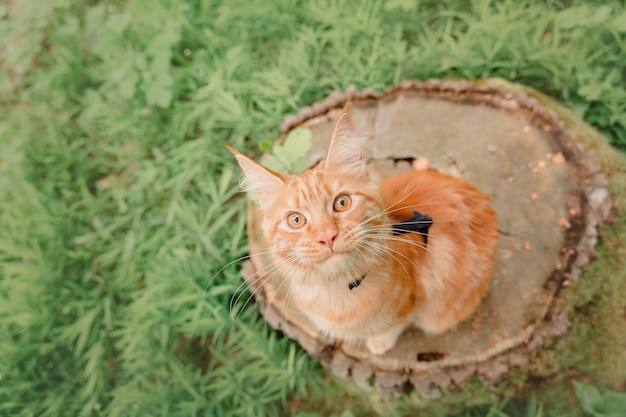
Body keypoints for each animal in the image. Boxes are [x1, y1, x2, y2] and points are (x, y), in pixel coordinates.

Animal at [227, 107, 494, 354]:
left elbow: (393, 325)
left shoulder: (411, 302)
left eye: (342, 202)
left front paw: (380, 342)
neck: (336, 291)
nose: (327, 237)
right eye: (296, 220)